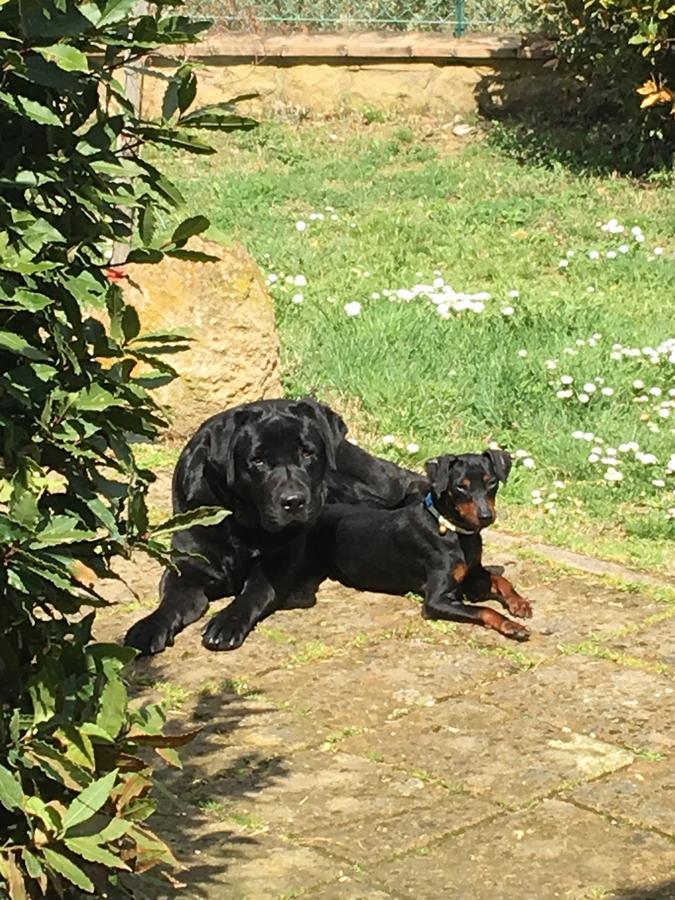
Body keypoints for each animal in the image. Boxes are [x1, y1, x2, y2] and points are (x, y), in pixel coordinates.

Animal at [304, 450, 532, 640]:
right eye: (461, 486)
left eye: (492, 482)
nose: (486, 516)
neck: (454, 529)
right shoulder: (437, 600)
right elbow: (485, 609)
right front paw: (511, 625)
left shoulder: (472, 575)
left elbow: (500, 579)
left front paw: (519, 603)